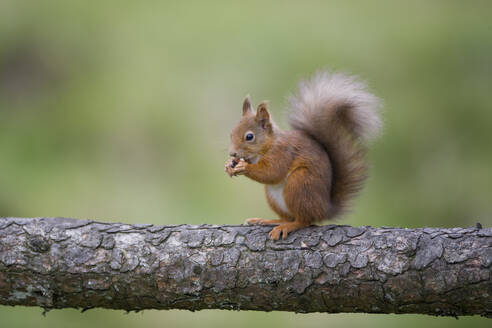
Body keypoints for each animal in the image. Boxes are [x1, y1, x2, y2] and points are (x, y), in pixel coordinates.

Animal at [225, 70, 382, 240]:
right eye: (231, 132)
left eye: (249, 136)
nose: (232, 152)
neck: (267, 146)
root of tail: (324, 209)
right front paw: (229, 164)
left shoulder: (282, 153)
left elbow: (272, 172)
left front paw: (243, 166)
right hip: (274, 196)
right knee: (287, 217)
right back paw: (268, 221)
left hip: (299, 184)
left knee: (304, 220)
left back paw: (287, 226)